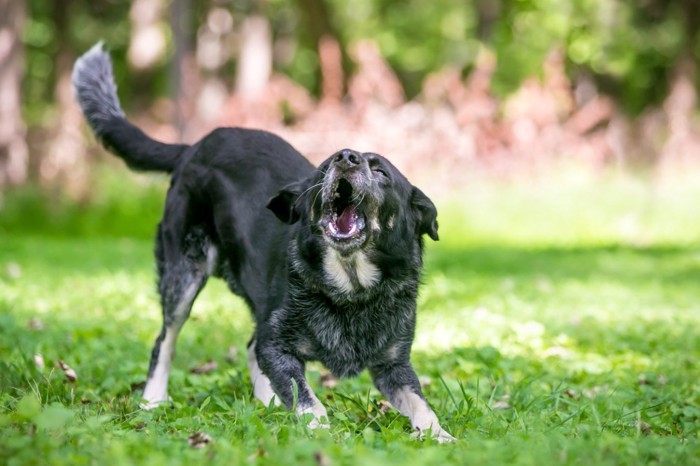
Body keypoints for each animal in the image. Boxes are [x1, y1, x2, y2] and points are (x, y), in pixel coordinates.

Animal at [71, 42, 454, 440]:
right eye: (325, 166)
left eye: (380, 171)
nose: (345, 157)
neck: (352, 290)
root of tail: (192, 147)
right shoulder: (278, 344)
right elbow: (306, 396)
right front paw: (318, 429)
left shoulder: (395, 364)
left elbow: (422, 405)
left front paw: (443, 437)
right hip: (184, 275)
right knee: (166, 340)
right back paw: (153, 400)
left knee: (249, 346)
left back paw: (267, 404)